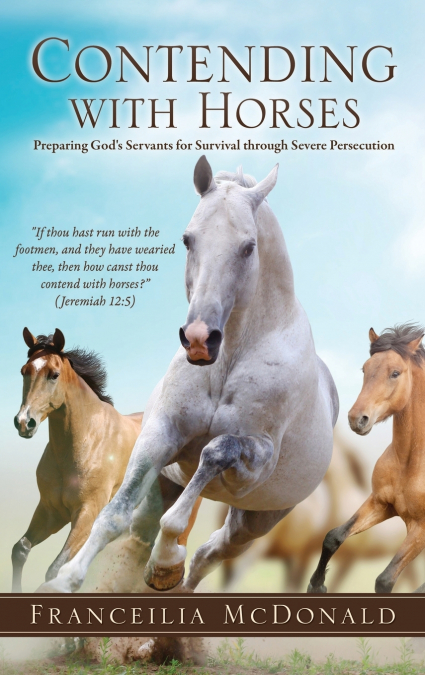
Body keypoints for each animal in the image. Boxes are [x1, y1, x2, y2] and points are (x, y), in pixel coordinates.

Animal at [12, 328, 200, 594]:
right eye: (24, 371)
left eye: (54, 375)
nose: (24, 422)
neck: (86, 442)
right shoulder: (51, 511)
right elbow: (20, 550)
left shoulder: (87, 513)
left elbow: (55, 569)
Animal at [38, 155, 338, 595]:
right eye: (187, 239)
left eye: (249, 246)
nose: (199, 339)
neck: (229, 359)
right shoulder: (161, 435)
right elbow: (114, 515)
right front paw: (66, 579)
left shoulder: (255, 461)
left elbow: (212, 456)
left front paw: (165, 561)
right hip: (167, 485)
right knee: (146, 532)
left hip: (254, 522)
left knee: (208, 554)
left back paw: (171, 572)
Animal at [308, 323, 425, 594]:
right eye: (365, 369)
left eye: (395, 373)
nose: (356, 419)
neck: (411, 463)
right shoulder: (380, 503)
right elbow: (333, 537)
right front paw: (316, 586)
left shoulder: (421, 529)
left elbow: (385, 580)